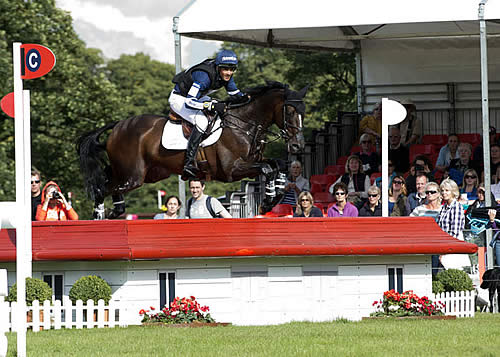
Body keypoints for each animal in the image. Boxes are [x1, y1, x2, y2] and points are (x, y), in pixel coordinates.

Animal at [77, 81, 308, 218]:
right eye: (290, 111)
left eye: (303, 112)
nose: (298, 145)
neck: (244, 125)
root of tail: (117, 126)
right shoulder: (232, 170)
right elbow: (268, 169)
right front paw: (269, 200)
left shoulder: (254, 161)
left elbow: (277, 165)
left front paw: (275, 195)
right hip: (133, 175)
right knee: (104, 189)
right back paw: (105, 213)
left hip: (148, 173)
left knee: (107, 180)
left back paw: (110, 211)